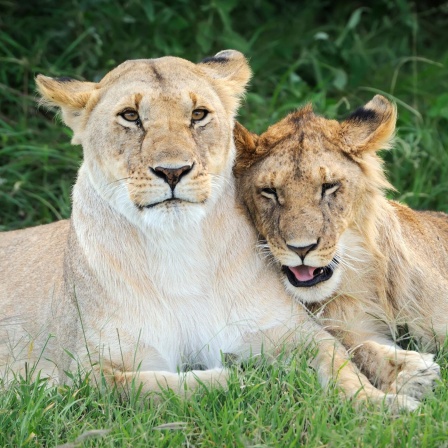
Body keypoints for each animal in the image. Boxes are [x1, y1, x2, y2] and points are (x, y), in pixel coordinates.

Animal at [0, 52, 410, 410]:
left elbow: (342, 366)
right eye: (130, 116)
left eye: (198, 114)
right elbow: (152, 387)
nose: (173, 171)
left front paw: (388, 407)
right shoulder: (80, 372)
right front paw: (243, 379)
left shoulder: (292, 330)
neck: (178, 249)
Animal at [233, 95, 442, 400]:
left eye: (328, 187)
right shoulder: (347, 327)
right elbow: (360, 347)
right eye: (270, 191)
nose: (301, 248)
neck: (366, 285)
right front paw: (412, 373)